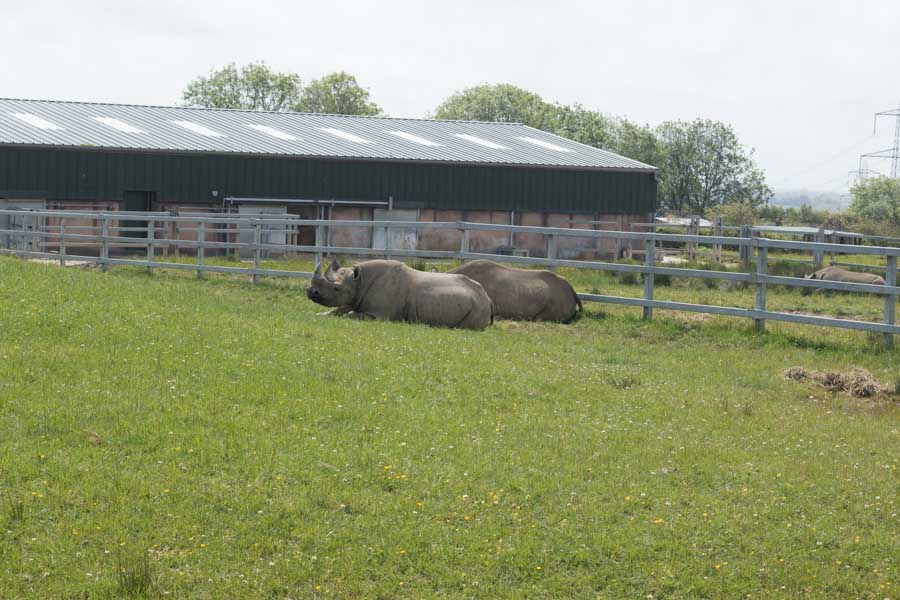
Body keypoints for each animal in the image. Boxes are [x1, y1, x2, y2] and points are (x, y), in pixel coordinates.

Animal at [306, 259, 493, 330]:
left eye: (336, 289)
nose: (310, 292)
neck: (359, 281)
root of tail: (488, 298)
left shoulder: (380, 315)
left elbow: (350, 314)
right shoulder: (355, 299)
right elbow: (337, 310)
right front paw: (319, 315)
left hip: (478, 306)